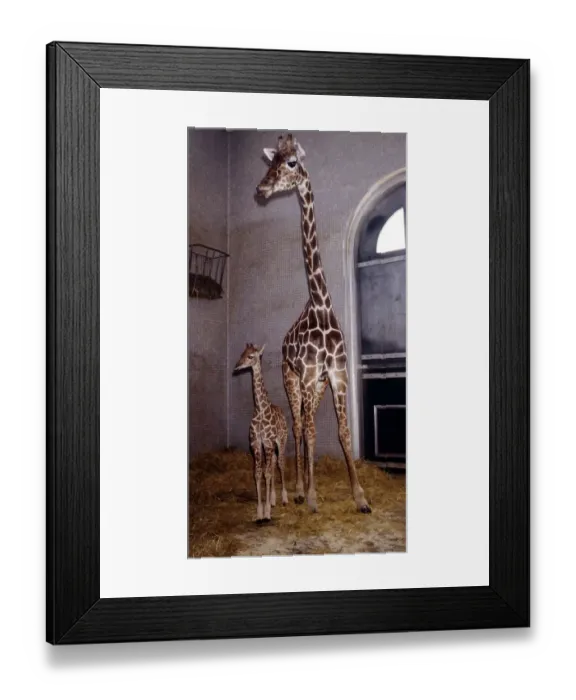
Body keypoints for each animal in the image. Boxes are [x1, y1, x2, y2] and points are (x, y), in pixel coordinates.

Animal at [233, 343, 289, 523]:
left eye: (251, 356)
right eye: (241, 354)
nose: (237, 366)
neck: (260, 410)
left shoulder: (268, 443)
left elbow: (267, 473)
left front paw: (267, 513)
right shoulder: (256, 444)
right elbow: (258, 474)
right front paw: (260, 512)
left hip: (281, 440)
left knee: (280, 463)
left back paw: (284, 498)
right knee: (272, 464)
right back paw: (272, 499)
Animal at [255, 134, 371, 515]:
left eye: (291, 163)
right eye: (271, 161)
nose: (261, 188)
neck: (321, 306)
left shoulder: (336, 374)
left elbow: (342, 433)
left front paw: (360, 497)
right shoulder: (305, 377)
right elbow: (309, 431)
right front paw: (312, 495)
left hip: (316, 387)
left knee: (307, 428)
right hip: (293, 381)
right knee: (297, 426)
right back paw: (297, 489)